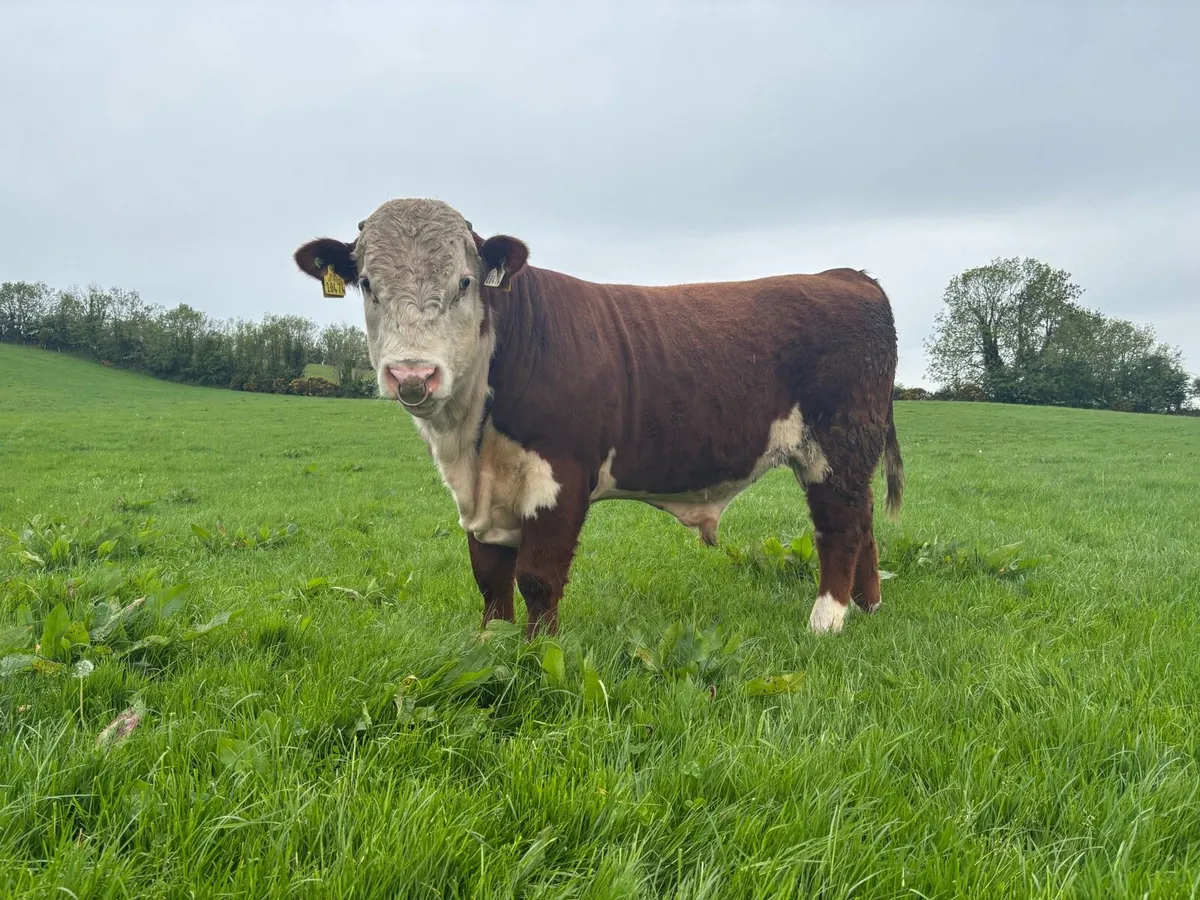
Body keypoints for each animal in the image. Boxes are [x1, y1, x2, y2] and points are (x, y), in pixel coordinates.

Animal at [293, 198, 904, 637]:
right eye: (367, 284)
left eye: (463, 282)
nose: (413, 374)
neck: (470, 445)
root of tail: (847, 275)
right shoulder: (483, 496)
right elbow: (489, 578)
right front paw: (491, 645)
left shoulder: (561, 475)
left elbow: (536, 577)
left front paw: (537, 655)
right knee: (865, 520)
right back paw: (869, 606)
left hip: (836, 445)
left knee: (840, 527)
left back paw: (827, 621)